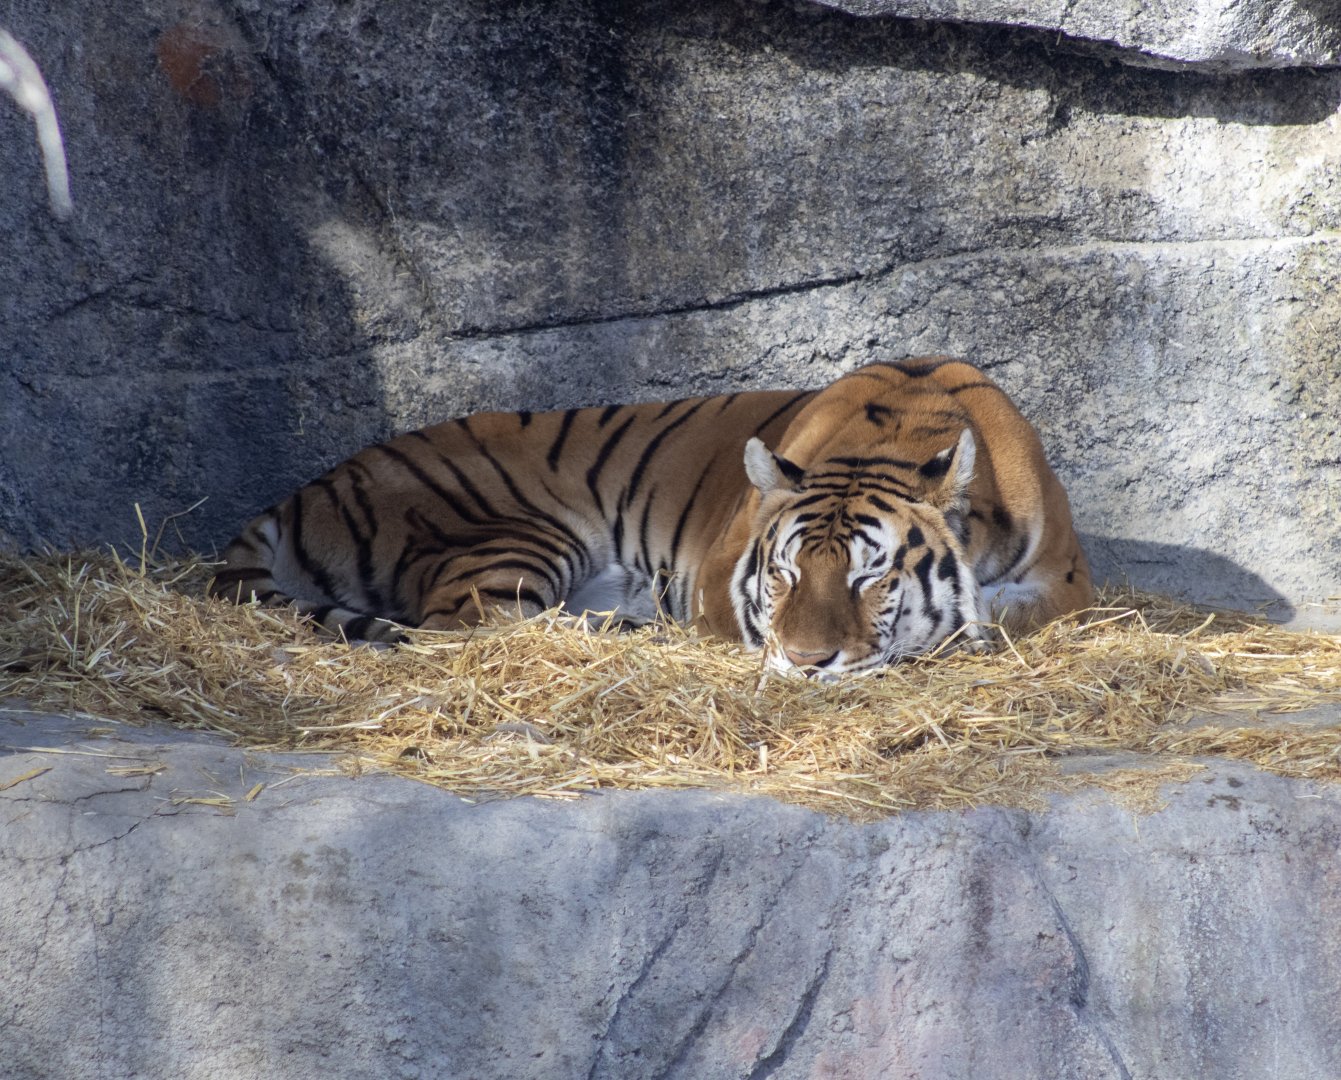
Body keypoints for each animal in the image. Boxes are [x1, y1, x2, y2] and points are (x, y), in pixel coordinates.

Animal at [210, 357, 1094, 674]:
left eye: (872, 579)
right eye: (783, 574)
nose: (805, 663)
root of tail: (307, 488)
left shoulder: (1067, 580)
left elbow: (1015, 614)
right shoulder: (717, 579)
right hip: (515, 539)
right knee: (468, 634)